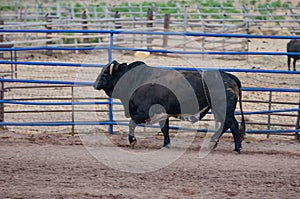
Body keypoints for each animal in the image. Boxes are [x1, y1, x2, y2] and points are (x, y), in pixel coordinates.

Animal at [94, 60, 246, 152]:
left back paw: (237, 147)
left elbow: (132, 123)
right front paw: (166, 144)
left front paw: (132, 141)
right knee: (226, 124)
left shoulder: (143, 112)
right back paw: (213, 142)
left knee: (232, 124)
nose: (95, 84)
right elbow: (165, 129)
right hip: (218, 110)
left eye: (106, 72)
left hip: (223, 109)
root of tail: (229, 76)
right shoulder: (162, 114)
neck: (135, 80)